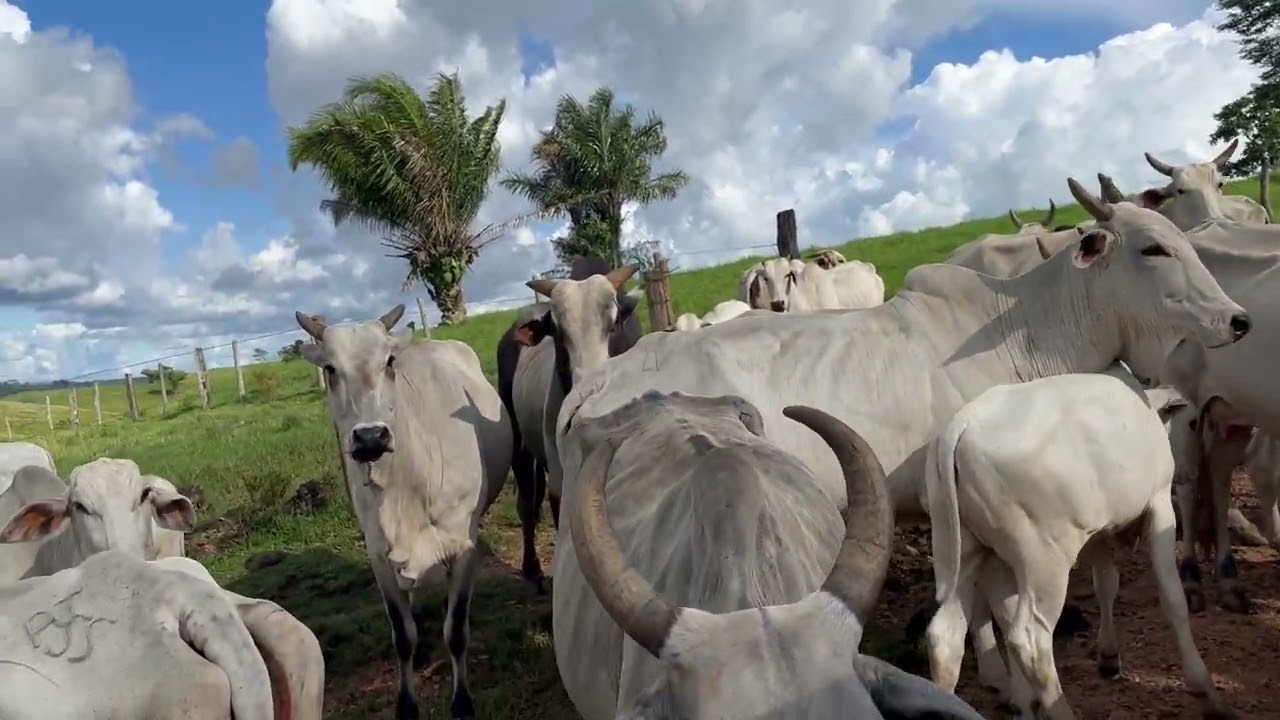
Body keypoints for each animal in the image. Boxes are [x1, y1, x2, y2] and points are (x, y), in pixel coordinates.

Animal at [296, 305, 512, 720]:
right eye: (329, 368)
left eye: (389, 362)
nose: (370, 437)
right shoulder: (379, 554)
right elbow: (402, 636)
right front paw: (407, 704)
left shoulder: (465, 545)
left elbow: (456, 631)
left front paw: (462, 701)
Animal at [497, 258, 643, 592]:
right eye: (558, 333)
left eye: (614, 323)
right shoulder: (563, 479)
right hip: (519, 444)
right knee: (527, 504)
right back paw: (533, 570)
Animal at [923, 367, 1230, 719]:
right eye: (1193, 422)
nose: (1192, 473)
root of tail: (962, 425)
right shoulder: (1160, 503)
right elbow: (1174, 599)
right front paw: (1203, 686)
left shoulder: (1099, 532)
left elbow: (1106, 585)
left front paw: (1109, 657)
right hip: (1045, 561)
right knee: (1030, 640)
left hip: (962, 550)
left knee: (945, 637)